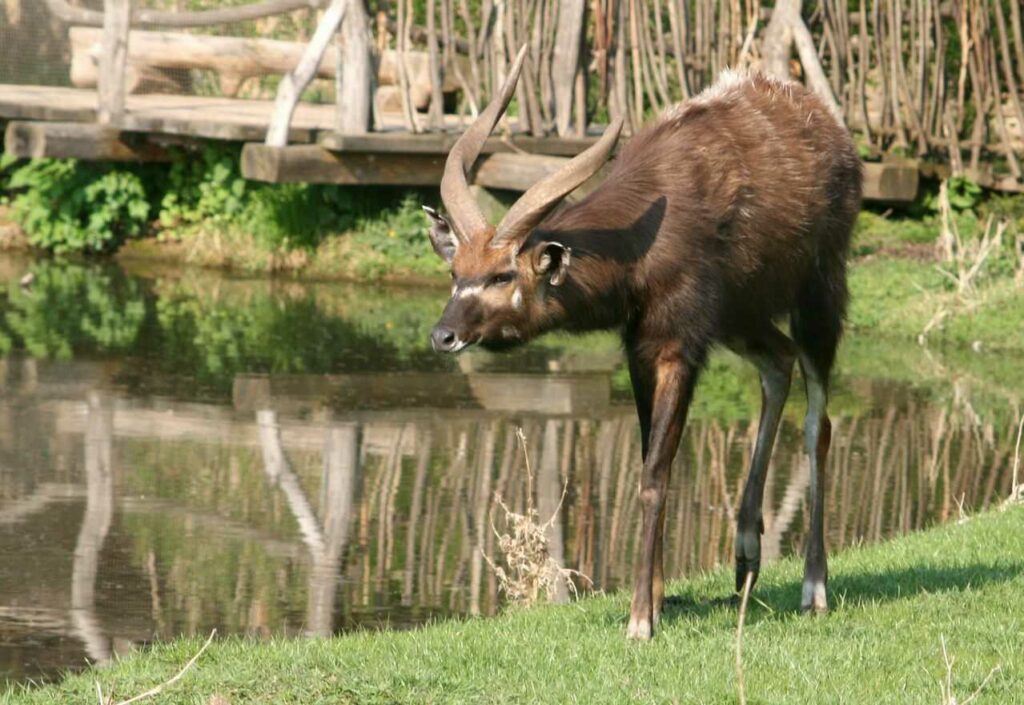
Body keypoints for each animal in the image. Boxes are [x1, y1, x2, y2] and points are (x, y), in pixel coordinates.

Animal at [423, 44, 864, 639]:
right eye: (455, 273)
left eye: (501, 276)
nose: (442, 335)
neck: (644, 239)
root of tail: (833, 131)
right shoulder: (640, 348)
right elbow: (647, 454)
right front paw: (656, 598)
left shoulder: (679, 346)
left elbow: (655, 472)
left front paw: (640, 620)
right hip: (740, 316)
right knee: (778, 361)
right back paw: (745, 558)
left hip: (819, 291)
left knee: (819, 419)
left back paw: (813, 587)